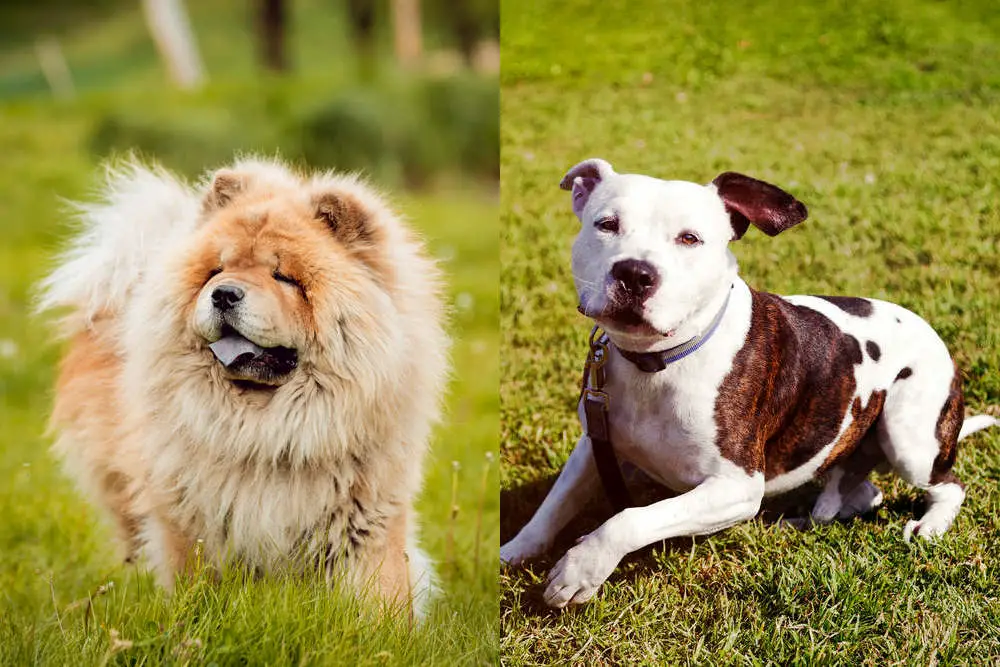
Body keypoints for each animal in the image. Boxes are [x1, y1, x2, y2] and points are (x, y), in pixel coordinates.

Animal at [38, 159, 446, 620]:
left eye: (284, 277)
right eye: (216, 271)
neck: (269, 434)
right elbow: (194, 582)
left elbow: (382, 592)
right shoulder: (191, 519)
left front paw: (384, 628)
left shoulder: (365, 518)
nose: (224, 293)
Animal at [504, 159, 996, 608]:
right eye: (606, 224)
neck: (658, 362)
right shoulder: (595, 441)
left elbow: (630, 518)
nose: (634, 273)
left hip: (910, 439)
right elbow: (554, 504)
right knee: (863, 493)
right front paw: (514, 550)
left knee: (949, 484)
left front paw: (581, 569)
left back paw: (930, 524)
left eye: (690, 238)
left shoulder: (735, 488)